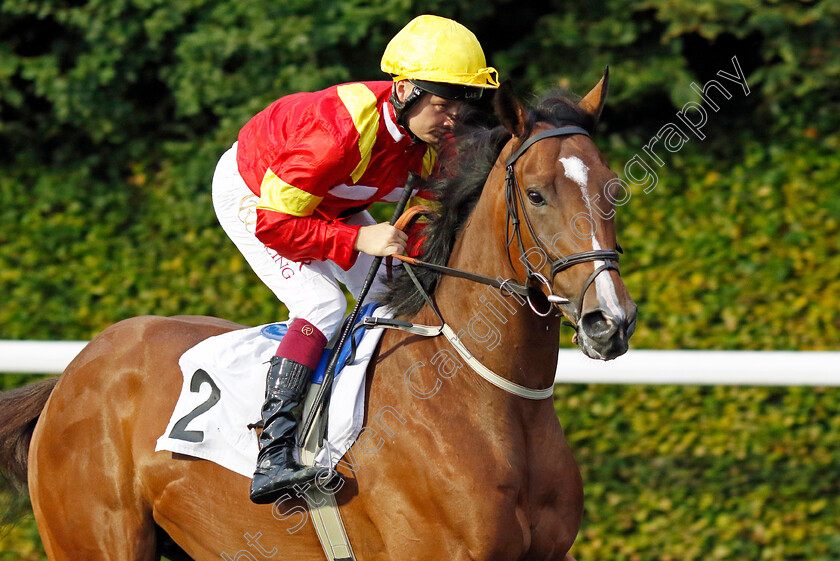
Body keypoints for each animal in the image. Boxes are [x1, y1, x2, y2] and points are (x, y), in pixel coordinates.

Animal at [0, 74, 632, 560]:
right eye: (537, 194)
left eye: (611, 188)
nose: (610, 321)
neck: (486, 400)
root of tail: (72, 373)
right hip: (93, 539)